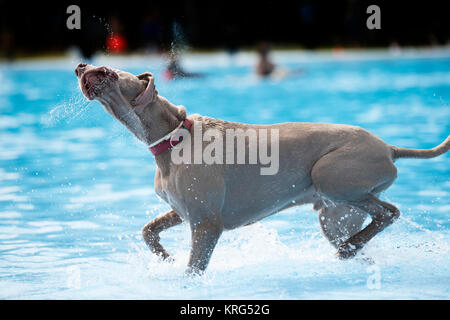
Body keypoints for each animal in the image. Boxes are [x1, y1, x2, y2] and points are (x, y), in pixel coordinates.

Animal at [75, 63, 448, 274]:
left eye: (107, 70)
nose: (79, 65)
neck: (173, 135)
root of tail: (389, 147)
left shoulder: (206, 223)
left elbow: (194, 268)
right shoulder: (182, 211)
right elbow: (148, 230)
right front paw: (164, 258)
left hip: (332, 176)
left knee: (389, 212)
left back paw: (349, 249)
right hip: (334, 216)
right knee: (363, 229)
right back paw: (350, 251)